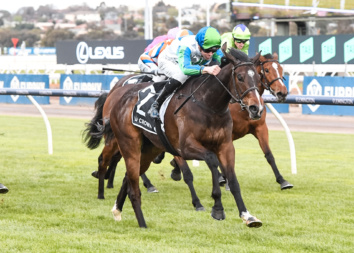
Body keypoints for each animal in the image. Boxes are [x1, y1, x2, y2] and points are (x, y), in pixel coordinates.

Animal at [88, 44, 266, 228]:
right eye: (240, 77)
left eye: (258, 78)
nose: (256, 108)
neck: (208, 105)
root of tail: (117, 97)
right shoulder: (185, 147)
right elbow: (210, 161)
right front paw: (217, 207)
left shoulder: (225, 146)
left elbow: (233, 180)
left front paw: (248, 216)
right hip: (128, 144)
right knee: (128, 181)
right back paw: (139, 221)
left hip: (149, 149)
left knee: (129, 178)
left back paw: (117, 209)